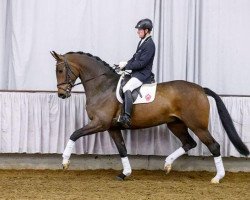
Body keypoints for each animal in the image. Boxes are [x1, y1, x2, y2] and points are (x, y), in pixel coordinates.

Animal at [50, 51, 248, 183]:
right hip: (176, 124)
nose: (61, 94)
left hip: (197, 125)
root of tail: (201, 89)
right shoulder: (112, 127)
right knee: (189, 143)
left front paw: (65, 162)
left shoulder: (100, 123)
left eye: (60, 70)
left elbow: (74, 134)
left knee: (213, 146)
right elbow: (122, 149)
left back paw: (217, 177)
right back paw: (167, 164)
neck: (102, 86)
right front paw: (125, 174)